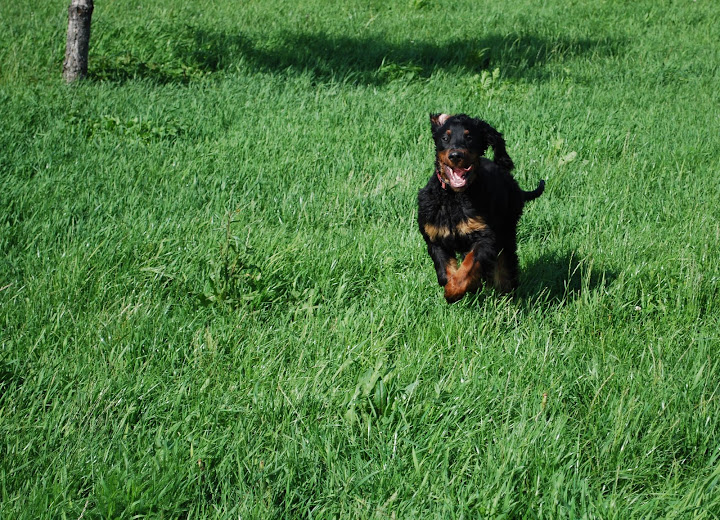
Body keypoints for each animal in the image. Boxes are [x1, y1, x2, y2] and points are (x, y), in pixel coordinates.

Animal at [417, 113, 544, 303]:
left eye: (469, 137)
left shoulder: (485, 237)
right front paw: (455, 287)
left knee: (506, 266)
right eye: (445, 138)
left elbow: (468, 266)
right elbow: (446, 272)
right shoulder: (435, 238)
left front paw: (454, 291)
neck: (454, 197)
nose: (455, 155)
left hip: (506, 232)